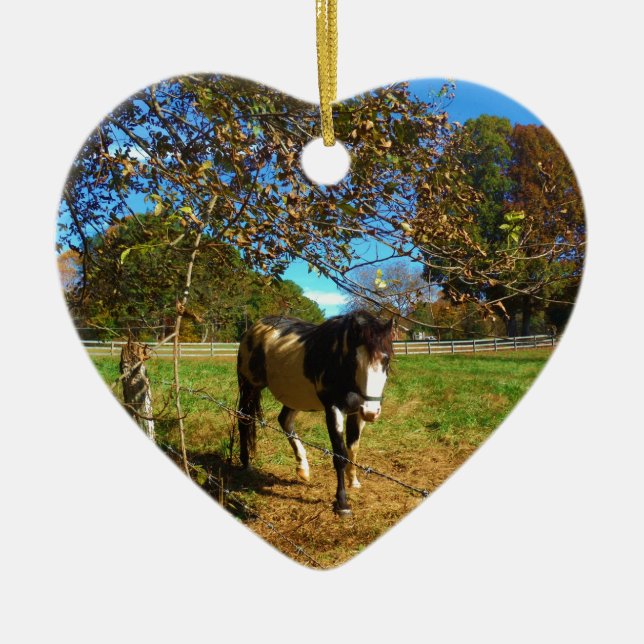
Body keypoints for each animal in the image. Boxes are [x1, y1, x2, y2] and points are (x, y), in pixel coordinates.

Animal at [236, 310, 394, 516]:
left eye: (386, 359)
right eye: (354, 360)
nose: (371, 412)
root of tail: (255, 328)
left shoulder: (356, 413)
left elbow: (353, 448)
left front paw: (354, 481)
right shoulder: (334, 410)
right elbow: (340, 455)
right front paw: (342, 503)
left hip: (293, 396)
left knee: (284, 421)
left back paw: (303, 468)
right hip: (249, 387)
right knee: (243, 420)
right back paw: (246, 464)